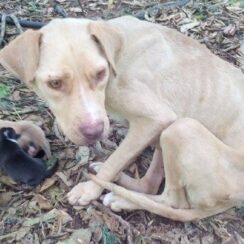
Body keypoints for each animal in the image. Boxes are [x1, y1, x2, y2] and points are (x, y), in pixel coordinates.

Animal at [0, 15, 244, 220]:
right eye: (55, 83)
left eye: (100, 73)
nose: (94, 132)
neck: (115, 56)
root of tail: (236, 198)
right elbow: (122, 157)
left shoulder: (156, 118)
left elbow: (116, 159)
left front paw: (90, 190)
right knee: (151, 183)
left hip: (181, 128)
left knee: (173, 201)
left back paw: (122, 199)